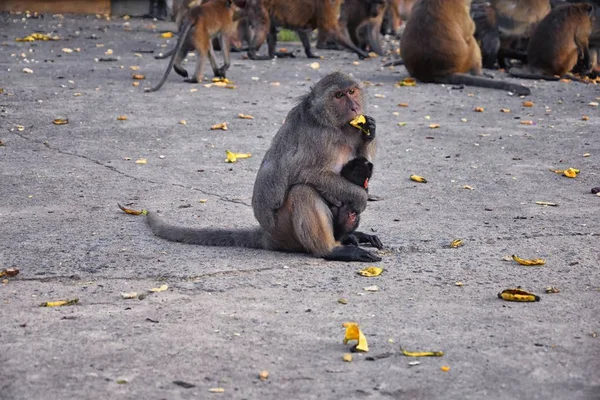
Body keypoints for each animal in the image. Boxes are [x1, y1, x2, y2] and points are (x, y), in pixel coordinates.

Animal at [146, 72, 382, 262]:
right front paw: (360, 197)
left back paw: (347, 236)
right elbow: (304, 173)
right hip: (285, 232)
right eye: (339, 96)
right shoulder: (319, 138)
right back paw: (330, 249)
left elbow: (364, 163)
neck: (334, 125)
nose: (354, 107)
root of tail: (268, 235)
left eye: (351, 91)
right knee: (302, 191)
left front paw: (369, 131)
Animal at [400, 0, 532, 96]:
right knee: (471, 42)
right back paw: (478, 74)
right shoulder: (461, 7)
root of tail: (435, 72)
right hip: (464, 62)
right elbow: (469, 32)